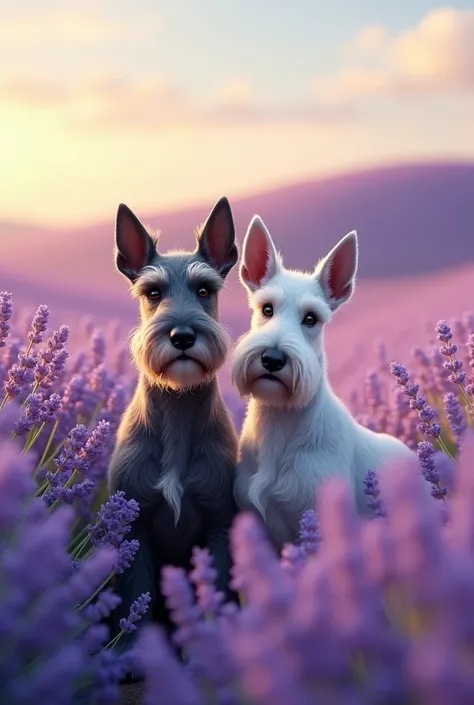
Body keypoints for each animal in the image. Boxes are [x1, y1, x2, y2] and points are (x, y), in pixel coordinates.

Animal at [109, 195, 239, 652]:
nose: (182, 336)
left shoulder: (219, 523)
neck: (178, 412)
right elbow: (136, 595)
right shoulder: (134, 530)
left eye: (205, 290)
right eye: (152, 292)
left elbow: (219, 586)